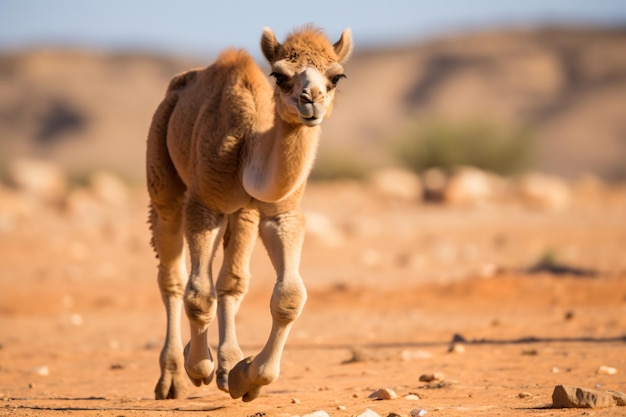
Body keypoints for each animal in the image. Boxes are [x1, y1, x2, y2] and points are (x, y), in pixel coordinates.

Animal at [146, 25, 352, 400]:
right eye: (280, 75)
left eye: (336, 76)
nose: (311, 99)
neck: (247, 150)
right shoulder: (205, 205)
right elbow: (198, 294)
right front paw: (199, 368)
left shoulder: (279, 213)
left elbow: (289, 296)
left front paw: (248, 378)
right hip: (163, 173)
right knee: (173, 277)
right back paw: (173, 379)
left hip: (242, 214)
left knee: (231, 281)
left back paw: (227, 365)